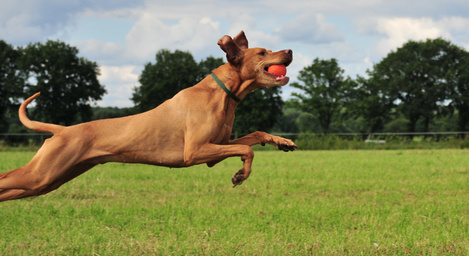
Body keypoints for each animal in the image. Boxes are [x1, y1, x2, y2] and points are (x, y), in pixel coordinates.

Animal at [0, 30, 298, 202]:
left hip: (48, 181)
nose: (291, 50)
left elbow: (255, 136)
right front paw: (240, 175)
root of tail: (62, 130)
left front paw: (283, 142)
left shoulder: (217, 147)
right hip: (41, 173)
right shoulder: (195, 151)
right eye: (262, 52)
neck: (222, 94)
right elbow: (248, 150)